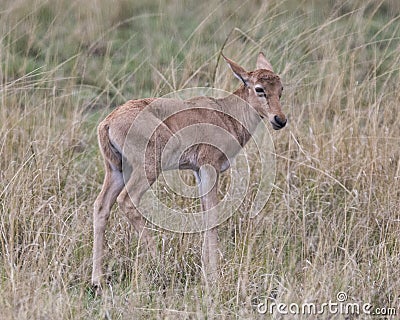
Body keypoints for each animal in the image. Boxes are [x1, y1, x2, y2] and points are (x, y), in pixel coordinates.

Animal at [92, 53, 286, 290]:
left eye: (281, 88)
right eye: (259, 88)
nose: (279, 120)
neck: (224, 113)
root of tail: (109, 122)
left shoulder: (198, 171)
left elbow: (204, 215)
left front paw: (205, 269)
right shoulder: (209, 167)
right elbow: (213, 216)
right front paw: (213, 276)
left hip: (115, 171)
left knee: (101, 207)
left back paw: (97, 279)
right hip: (148, 168)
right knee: (127, 201)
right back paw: (161, 265)